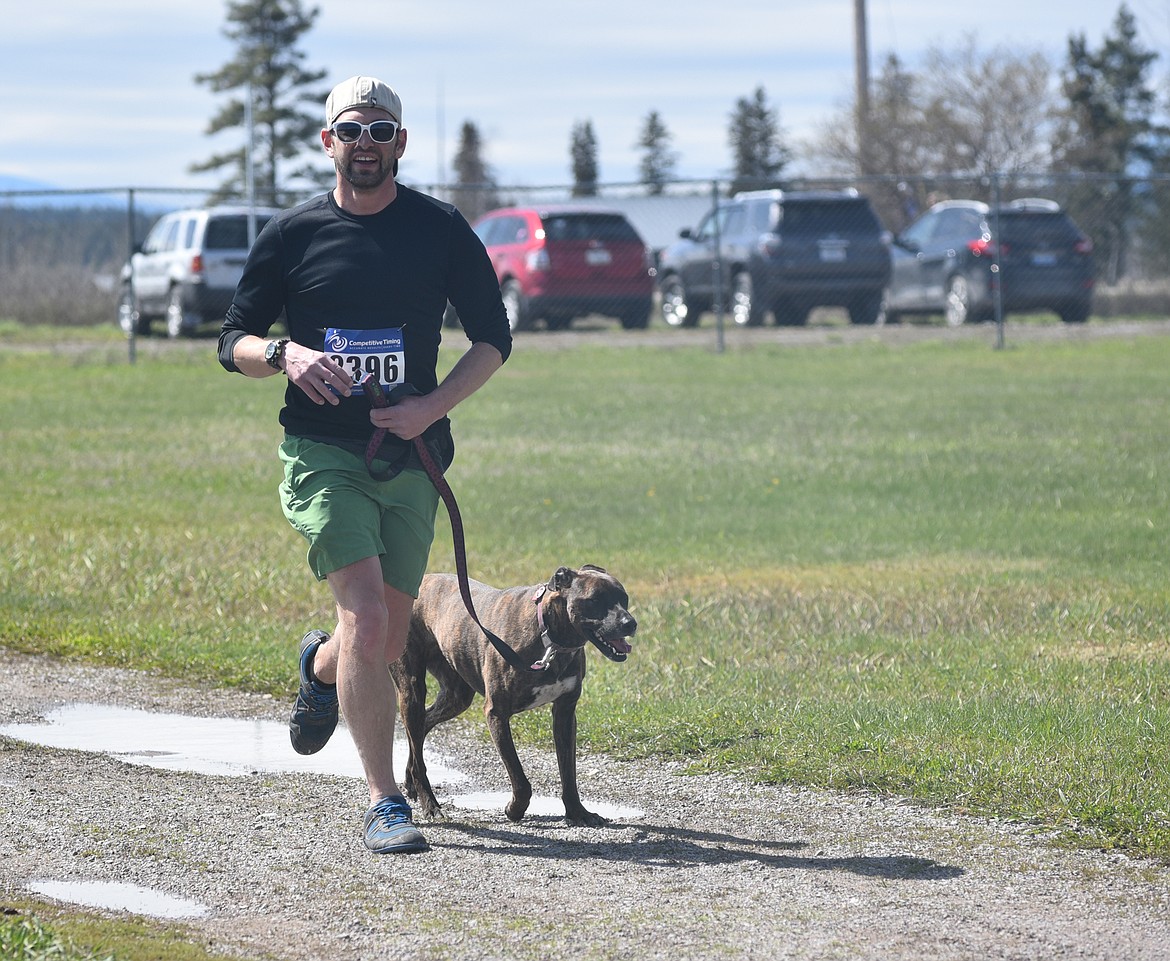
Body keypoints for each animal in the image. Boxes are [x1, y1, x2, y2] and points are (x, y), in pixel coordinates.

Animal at [388, 561, 636, 824]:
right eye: (595, 600)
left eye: (624, 598)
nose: (631, 623)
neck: (550, 639)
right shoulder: (497, 714)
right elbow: (520, 778)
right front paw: (515, 809)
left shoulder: (565, 713)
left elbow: (569, 774)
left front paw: (577, 812)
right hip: (412, 689)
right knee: (417, 733)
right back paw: (430, 803)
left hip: (457, 696)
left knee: (422, 727)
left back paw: (411, 782)